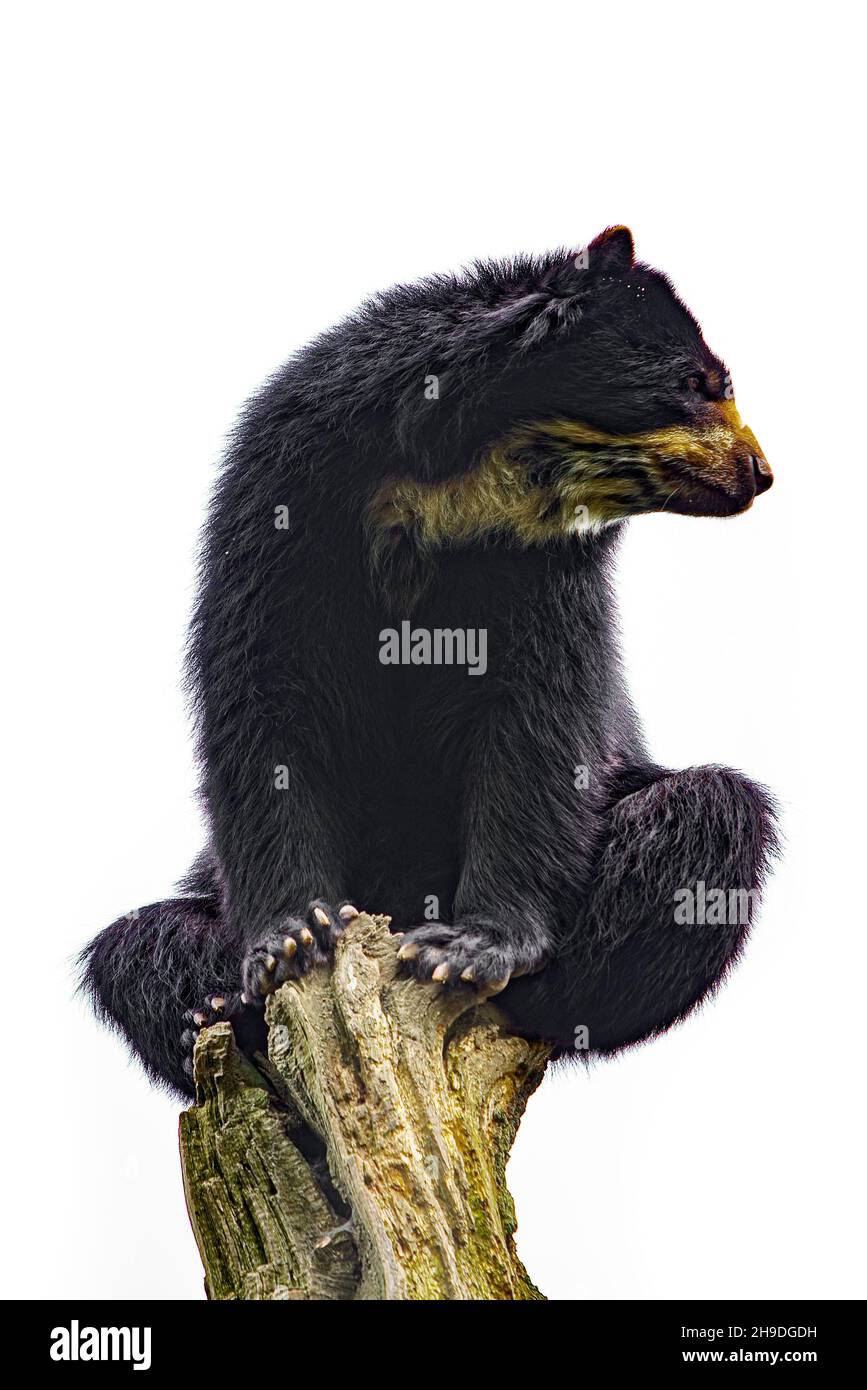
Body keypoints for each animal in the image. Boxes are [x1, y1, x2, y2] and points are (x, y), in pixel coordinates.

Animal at [80, 226, 778, 1099]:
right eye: (697, 382)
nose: (760, 473)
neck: (463, 482)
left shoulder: (547, 572)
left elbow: (540, 727)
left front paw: (468, 950)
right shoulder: (276, 504)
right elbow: (258, 701)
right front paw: (290, 940)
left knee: (710, 814)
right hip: (204, 898)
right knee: (133, 946)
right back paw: (210, 1010)